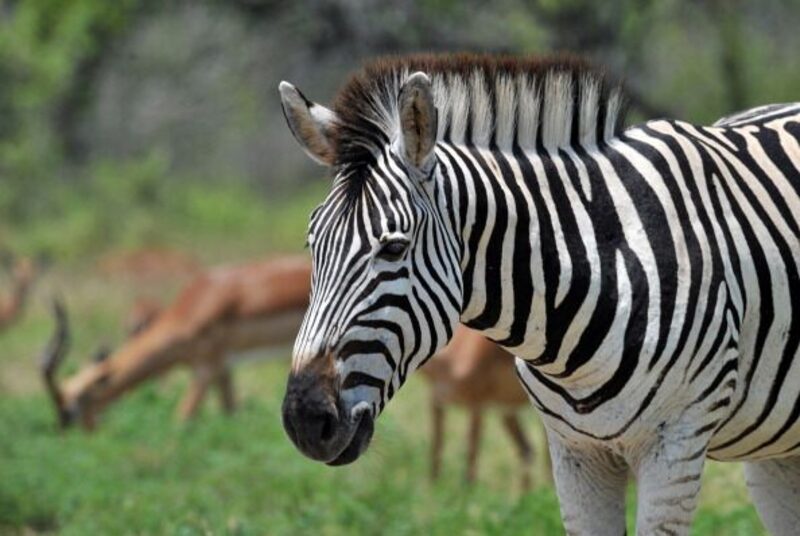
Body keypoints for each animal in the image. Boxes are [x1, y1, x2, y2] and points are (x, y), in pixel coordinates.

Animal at [278, 53, 800, 535]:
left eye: (393, 247)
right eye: (312, 245)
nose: (305, 419)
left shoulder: (675, 444)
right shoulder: (574, 452)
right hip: (775, 451)